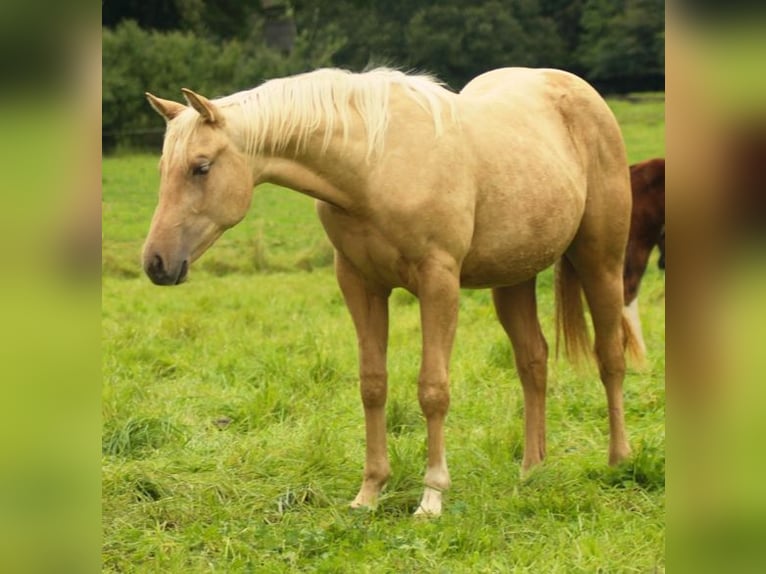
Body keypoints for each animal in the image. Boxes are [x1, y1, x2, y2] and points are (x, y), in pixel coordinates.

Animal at [141, 67, 640, 516]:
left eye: (201, 167)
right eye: (163, 168)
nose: (156, 264)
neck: (373, 165)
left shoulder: (439, 283)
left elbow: (432, 389)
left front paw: (432, 497)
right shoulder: (360, 285)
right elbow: (373, 385)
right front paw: (369, 493)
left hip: (600, 262)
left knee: (610, 356)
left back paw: (619, 461)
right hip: (513, 278)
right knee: (533, 361)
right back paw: (532, 469)